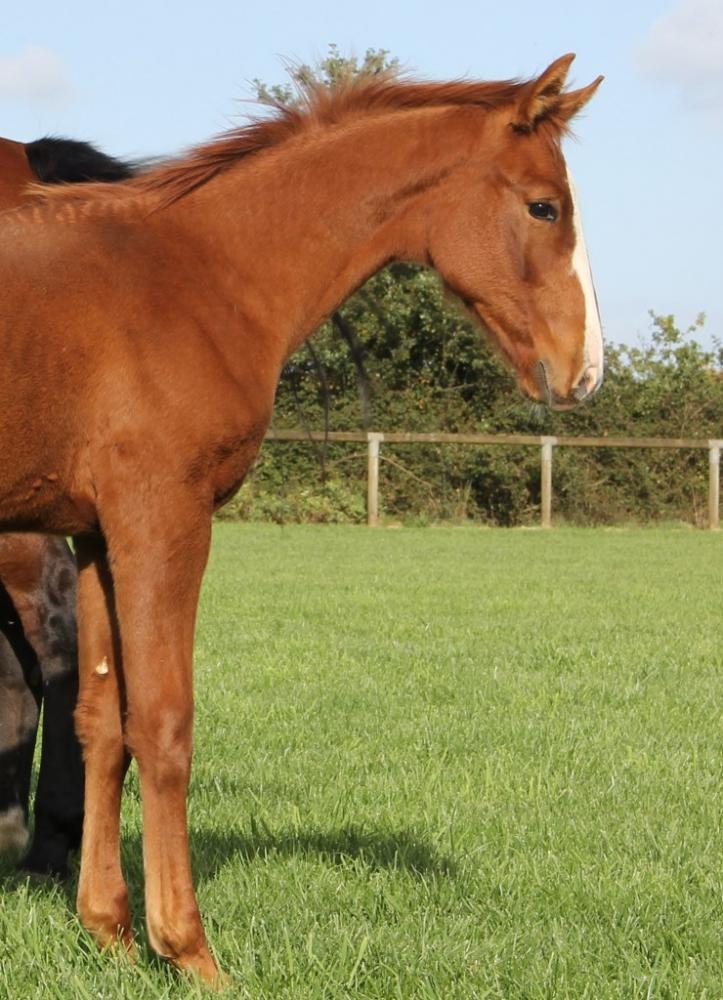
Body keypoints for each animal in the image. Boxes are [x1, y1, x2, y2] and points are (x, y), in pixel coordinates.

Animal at [0, 55, 603, 982]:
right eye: (544, 206)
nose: (585, 370)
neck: (198, 273)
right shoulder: (163, 520)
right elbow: (165, 724)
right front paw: (189, 950)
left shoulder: (100, 532)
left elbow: (102, 721)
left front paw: (110, 933)